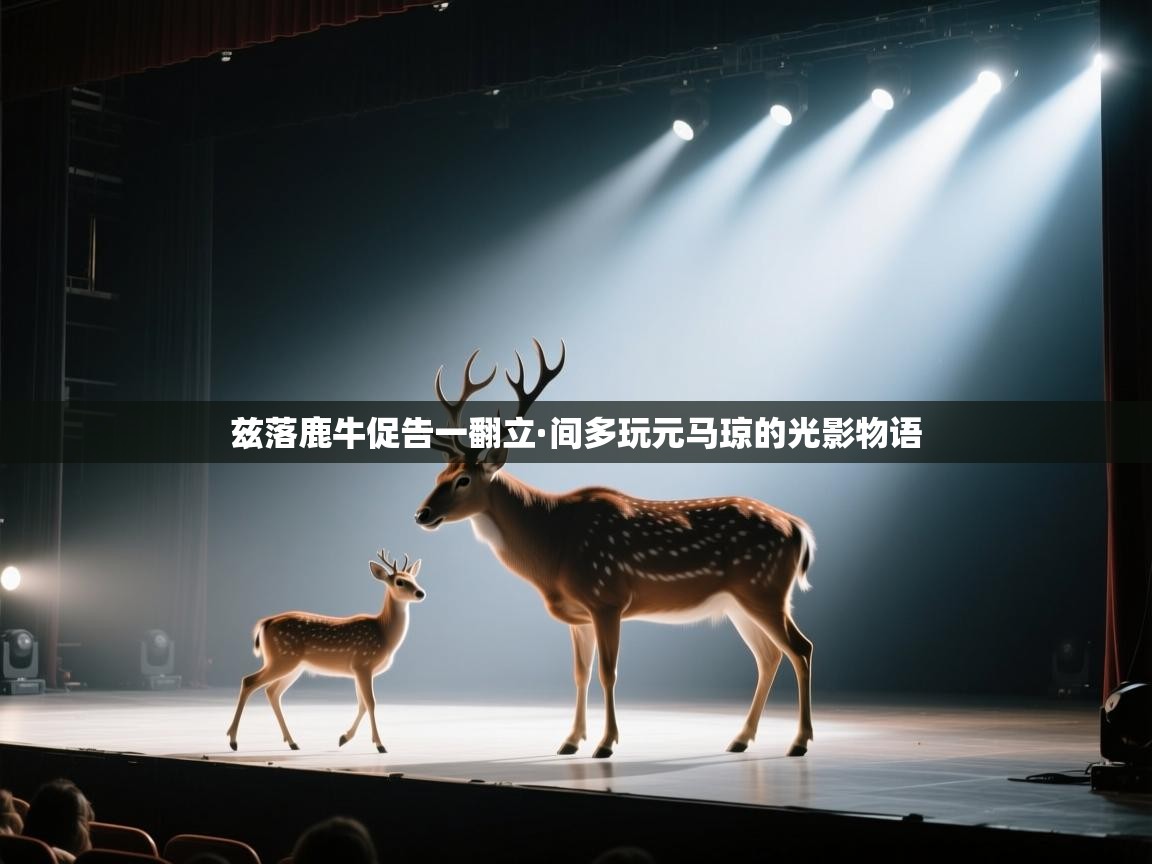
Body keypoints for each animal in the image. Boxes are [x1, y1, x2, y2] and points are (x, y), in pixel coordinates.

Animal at [225, 550, 425, 753]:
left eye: (414, 578)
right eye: (399, 581)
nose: (420, 593)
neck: (383, 633)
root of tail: (265, 623)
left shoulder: (357, 670)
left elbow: (362, 705)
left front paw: (343, 738)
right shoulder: (363, 664)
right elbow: (371, 703)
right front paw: (380, 745)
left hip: (292, 666)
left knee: (272, 691)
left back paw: (292, 742)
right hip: (281, 658)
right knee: (249, 681)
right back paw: (233, 740)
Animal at [415, 341, 815, 759]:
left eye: (463, 479)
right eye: (438, 475)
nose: (421, 514)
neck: (554, 549)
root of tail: (798, 527)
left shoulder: (606, 597)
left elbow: (609, 673)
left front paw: (605, 744)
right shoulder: (578, 615)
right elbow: (581, 674)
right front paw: (570, 741)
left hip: (765, 589)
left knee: (801, 649)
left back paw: (799, 742)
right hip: (740, 603)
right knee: (769, 656)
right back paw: (740, 739)